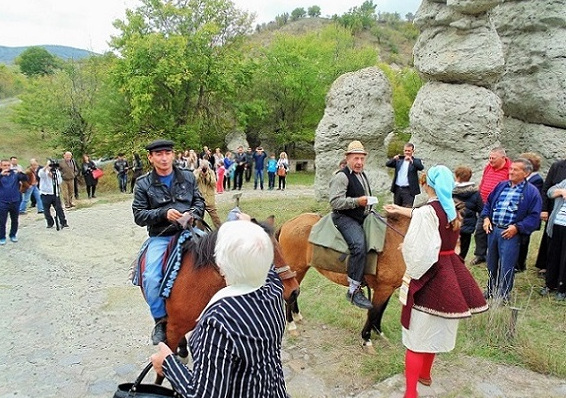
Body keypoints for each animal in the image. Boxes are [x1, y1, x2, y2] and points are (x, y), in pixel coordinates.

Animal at [278, 213, 408, 346]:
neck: (395, 239)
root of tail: (288, 223)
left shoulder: (388, 289)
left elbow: (381, 310)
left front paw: (379, 332)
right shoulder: (383, 288)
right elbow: (373, 312)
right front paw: (367, 338)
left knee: (294, 293)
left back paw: (297, 315)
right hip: (295, 270)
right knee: (290, 296)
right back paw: (291, 324)